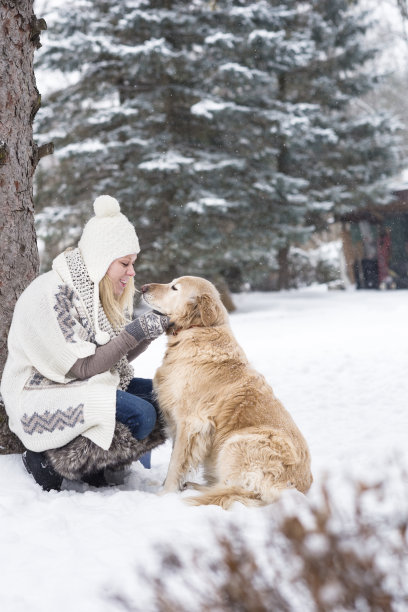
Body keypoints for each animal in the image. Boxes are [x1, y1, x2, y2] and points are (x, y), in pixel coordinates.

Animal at [141, 276, 312, 506]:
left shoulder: (190, 422)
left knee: (238, 491)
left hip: (237, 443)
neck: (197, 330)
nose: (142, 287)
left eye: (174, 287)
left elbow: (176, 463)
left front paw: (165, 495)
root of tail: (301, 489)